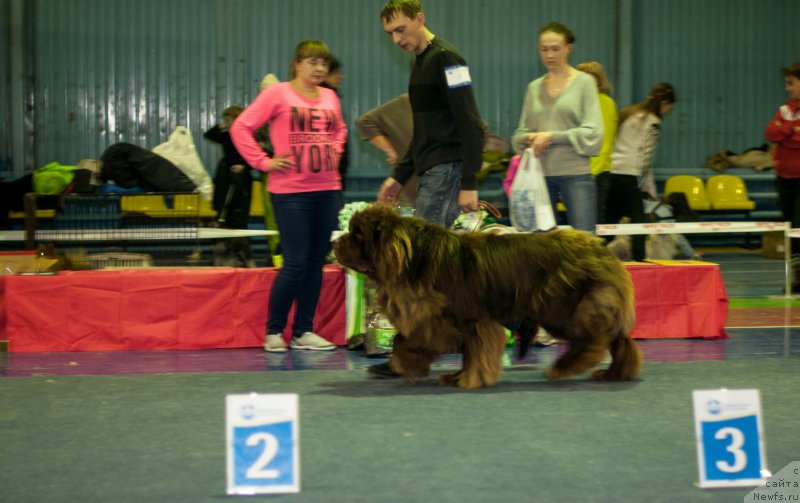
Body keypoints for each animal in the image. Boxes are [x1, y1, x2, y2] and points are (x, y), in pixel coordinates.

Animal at [332, 205, 644, 390]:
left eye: (357, 235)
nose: (334, 242)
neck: (413, 260)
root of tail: (600, 247)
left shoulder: (461, 319)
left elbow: (425, 343)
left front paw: (463, 378)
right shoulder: (449, 321)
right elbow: (416, 341)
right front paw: (450, 375)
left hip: (562, 307)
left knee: (596, 339)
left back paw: (566, 367)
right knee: (618, 339)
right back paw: (617, 373)